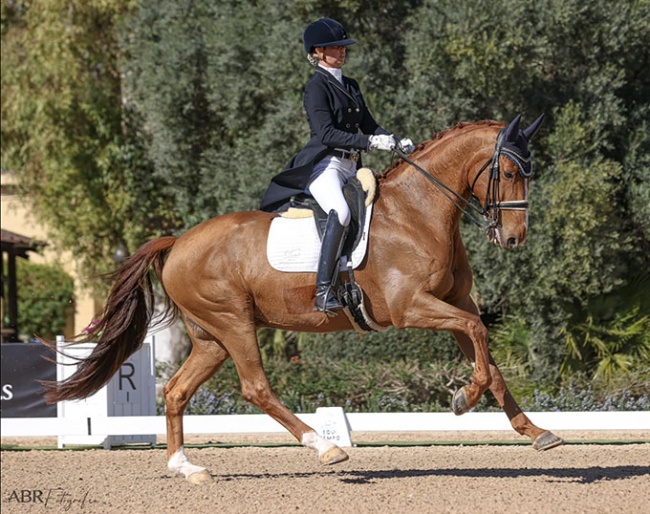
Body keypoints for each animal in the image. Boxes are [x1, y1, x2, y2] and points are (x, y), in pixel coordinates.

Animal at [45, 115, 560, 480]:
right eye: (508, 171)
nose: (514, 239)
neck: (417, 213)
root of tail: (177, 242)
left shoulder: (456, 304)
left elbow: (489, 360)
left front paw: (537, 433)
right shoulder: (411, 307)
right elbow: (478, 339)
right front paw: (461, 399)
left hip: (210, 337)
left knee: (176, 391)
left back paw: (186, 468)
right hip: (234, 323)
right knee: (256, 387)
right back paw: (325, 447)